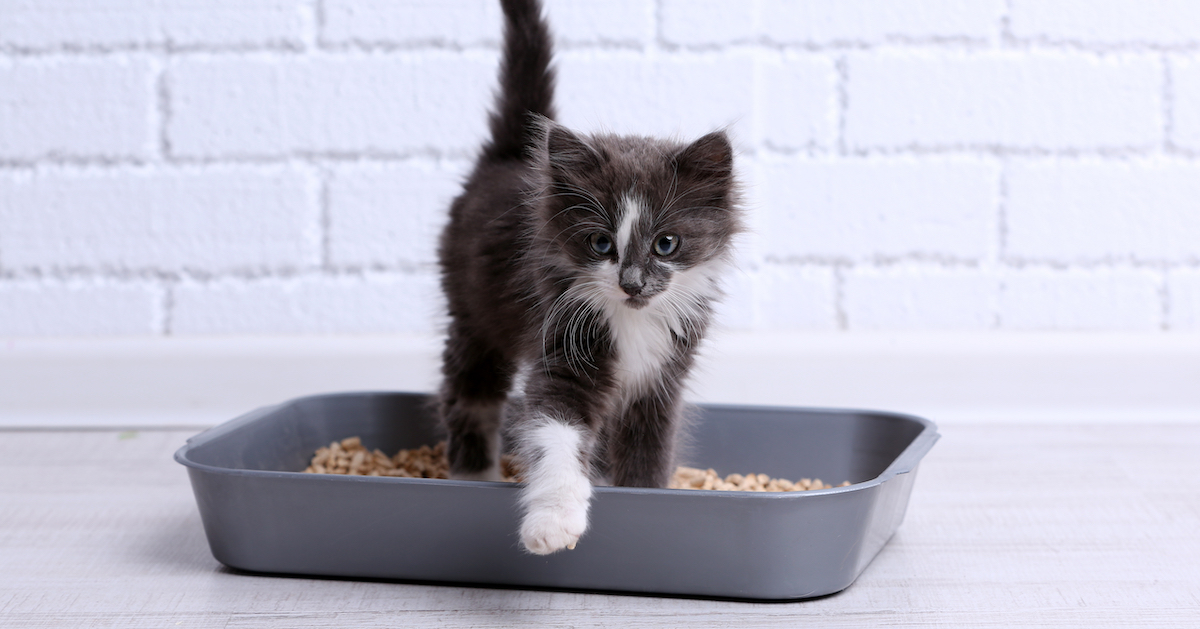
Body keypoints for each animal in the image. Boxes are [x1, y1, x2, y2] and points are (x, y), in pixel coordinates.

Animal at [436, 0, 744, 552]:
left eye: (666, 244)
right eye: (601, 244)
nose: (632, 282)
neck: (634, 322)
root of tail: (507, 157)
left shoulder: (662, 381)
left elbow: (647, 453)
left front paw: (647, 501)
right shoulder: (563, 349)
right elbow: (555, 434)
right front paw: (553, 522)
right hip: (473, 313)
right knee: (468, 395)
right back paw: (473, 475)